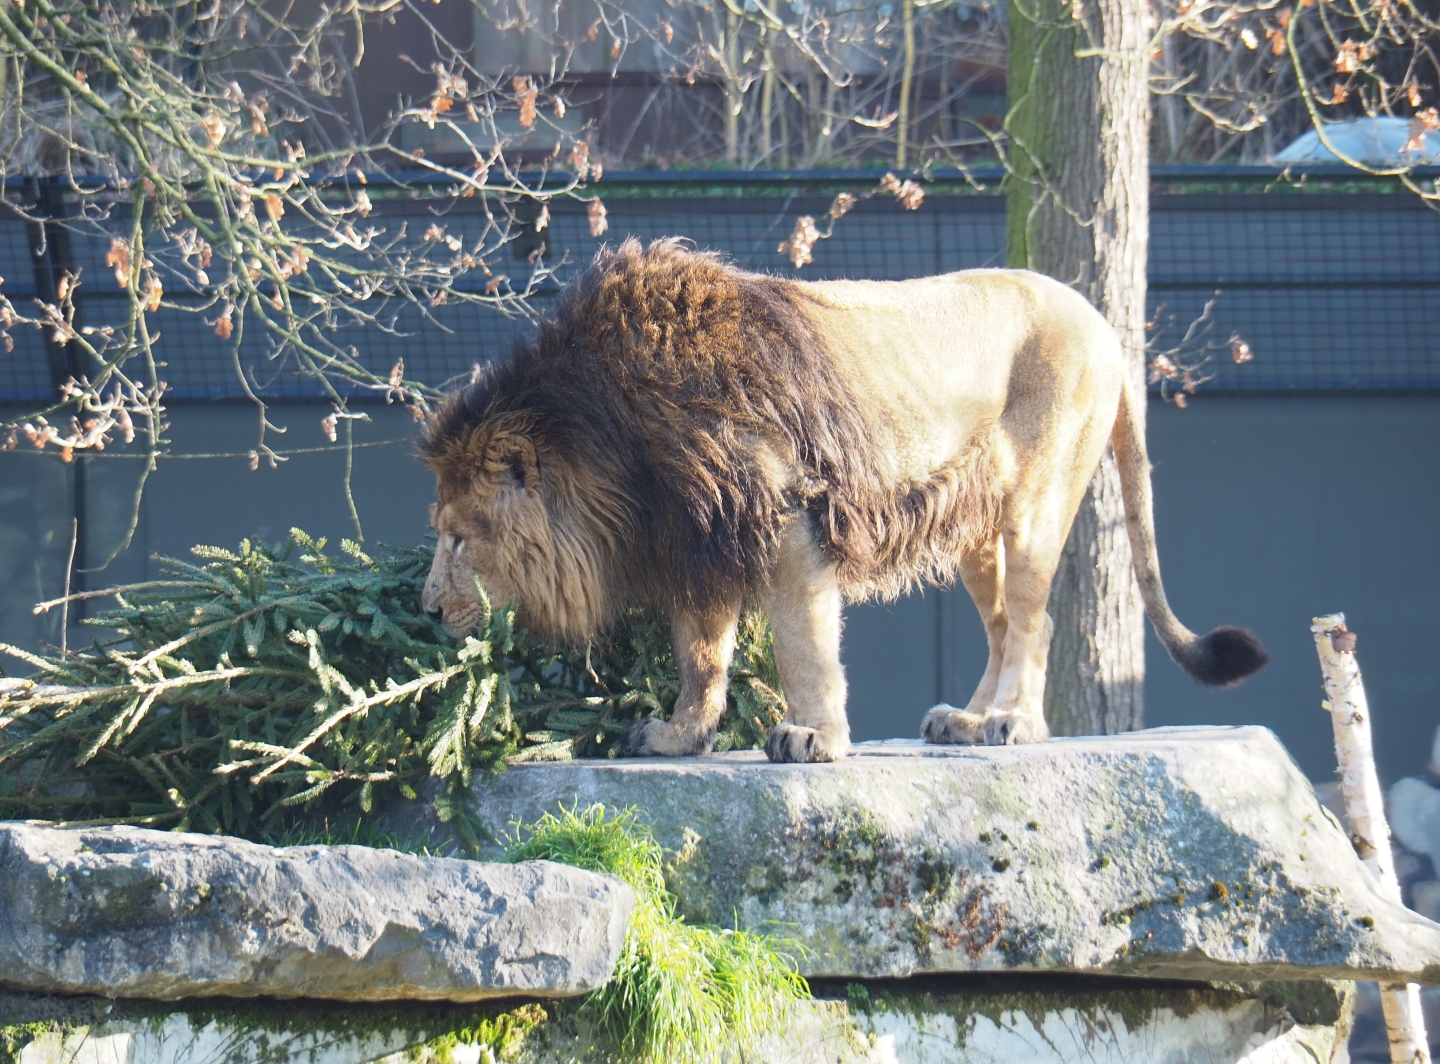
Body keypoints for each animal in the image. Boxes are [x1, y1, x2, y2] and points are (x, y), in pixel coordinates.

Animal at [418, 238, 1266, 763]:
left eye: (458, 537)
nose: (426, 608)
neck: (608, 434)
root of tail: (1106, 326)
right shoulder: (699, 535)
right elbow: (701, 657)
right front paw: (679, 736)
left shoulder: (783, 515)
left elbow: (804, 647)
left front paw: (814, 739)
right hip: (974, 533)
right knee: (1005, 624)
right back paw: (965, 722)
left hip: (1037, 500)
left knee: (1033, 620)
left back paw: (1011, 722)